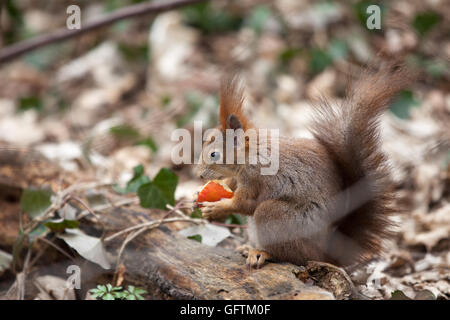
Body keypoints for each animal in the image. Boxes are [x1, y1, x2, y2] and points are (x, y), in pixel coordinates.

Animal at [195, 63, 414, 268]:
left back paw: (261, 253)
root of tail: (325, 254)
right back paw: (249, 248)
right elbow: (232, 185)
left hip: (277, 217)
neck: (251, 153)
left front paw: (217, 208)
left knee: (292, 256)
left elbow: (244, 203)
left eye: (214, 154)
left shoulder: (255, 177)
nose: (198, 174)